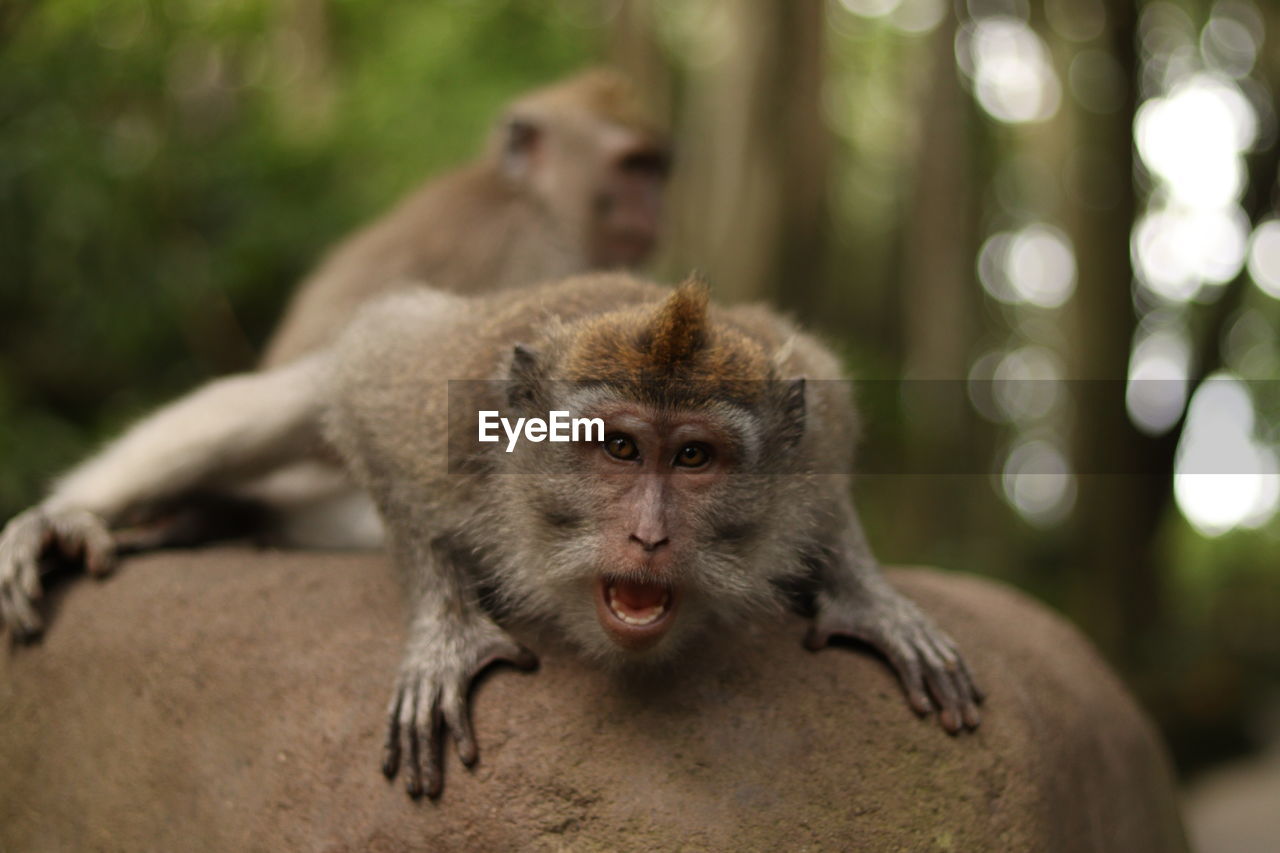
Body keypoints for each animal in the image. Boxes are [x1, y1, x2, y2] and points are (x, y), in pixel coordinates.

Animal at [0, 274, 977, 799]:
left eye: (695, 456)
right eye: (619, 448)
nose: (649, 535)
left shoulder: (822, 424)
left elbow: (830, 479)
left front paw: (867, 594)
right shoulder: (433, 402)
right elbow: (368, 394)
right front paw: (446, 630)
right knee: (279, 406)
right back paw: (72, 518)